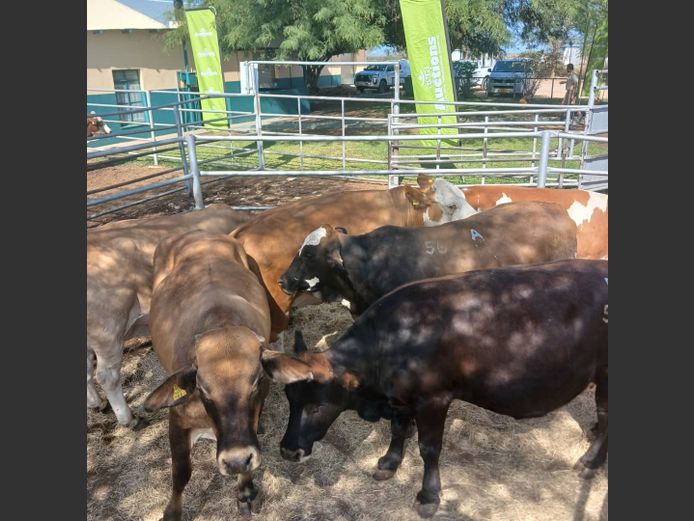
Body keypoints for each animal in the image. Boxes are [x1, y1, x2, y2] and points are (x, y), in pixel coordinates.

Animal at [144, 230, 272, 519]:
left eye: (257, 381)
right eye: (202, 389)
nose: (235, 460)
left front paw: (245, 493)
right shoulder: (177, 419)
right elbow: (181, 472)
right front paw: (172, 512)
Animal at [262, 259, 608, 518]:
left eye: (317, 405)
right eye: (291, 400)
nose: (288, 450)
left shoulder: (433, 399)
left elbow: (429, 448)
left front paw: (428, 496)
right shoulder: (400, 397)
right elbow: (398, 429)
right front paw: (389, 462)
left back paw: (589, 462)